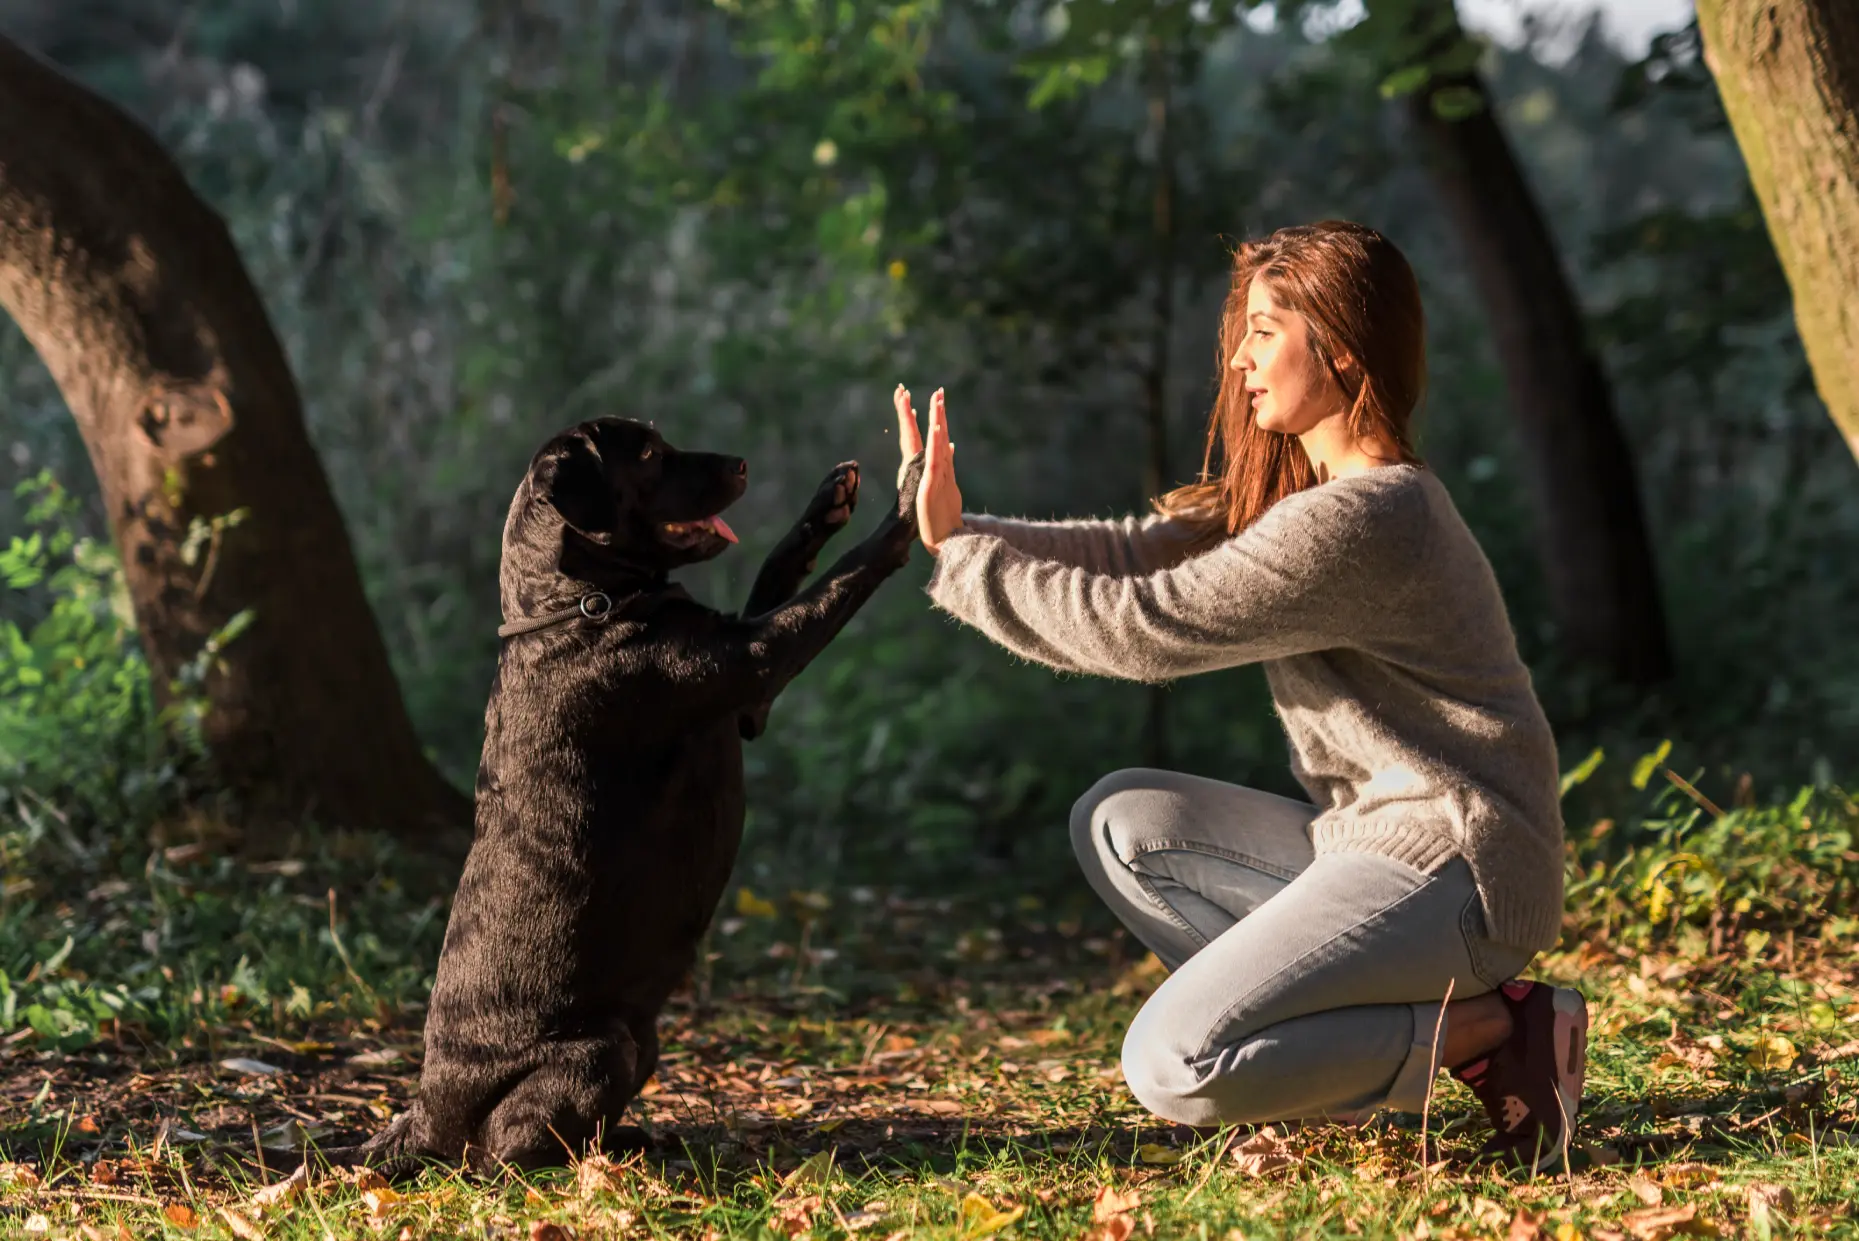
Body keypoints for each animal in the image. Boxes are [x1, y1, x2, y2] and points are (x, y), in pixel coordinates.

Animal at [343, 416, 922, 1174]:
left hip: (642, 1041)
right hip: (601, 1047)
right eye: (647, 453)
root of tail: (422, 1116)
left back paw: (631, 1139)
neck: (579, 607)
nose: (740, 462)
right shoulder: (755, 662)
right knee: (504, 1154)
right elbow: (838, 580)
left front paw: (827, 502)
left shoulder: (749, 702)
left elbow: (777, 569)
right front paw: (908, 504)